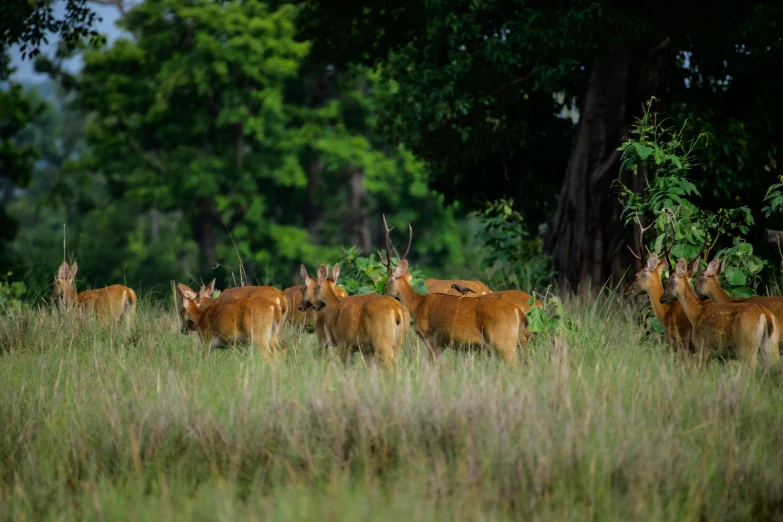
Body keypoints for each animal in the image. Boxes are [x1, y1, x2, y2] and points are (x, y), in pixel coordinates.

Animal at [382, 213, 528, 364]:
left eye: (386, 283)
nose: (387, 296)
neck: (417, 306)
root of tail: (518, 311)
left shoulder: (430, 337)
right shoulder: (442, 344)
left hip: (503, 341)